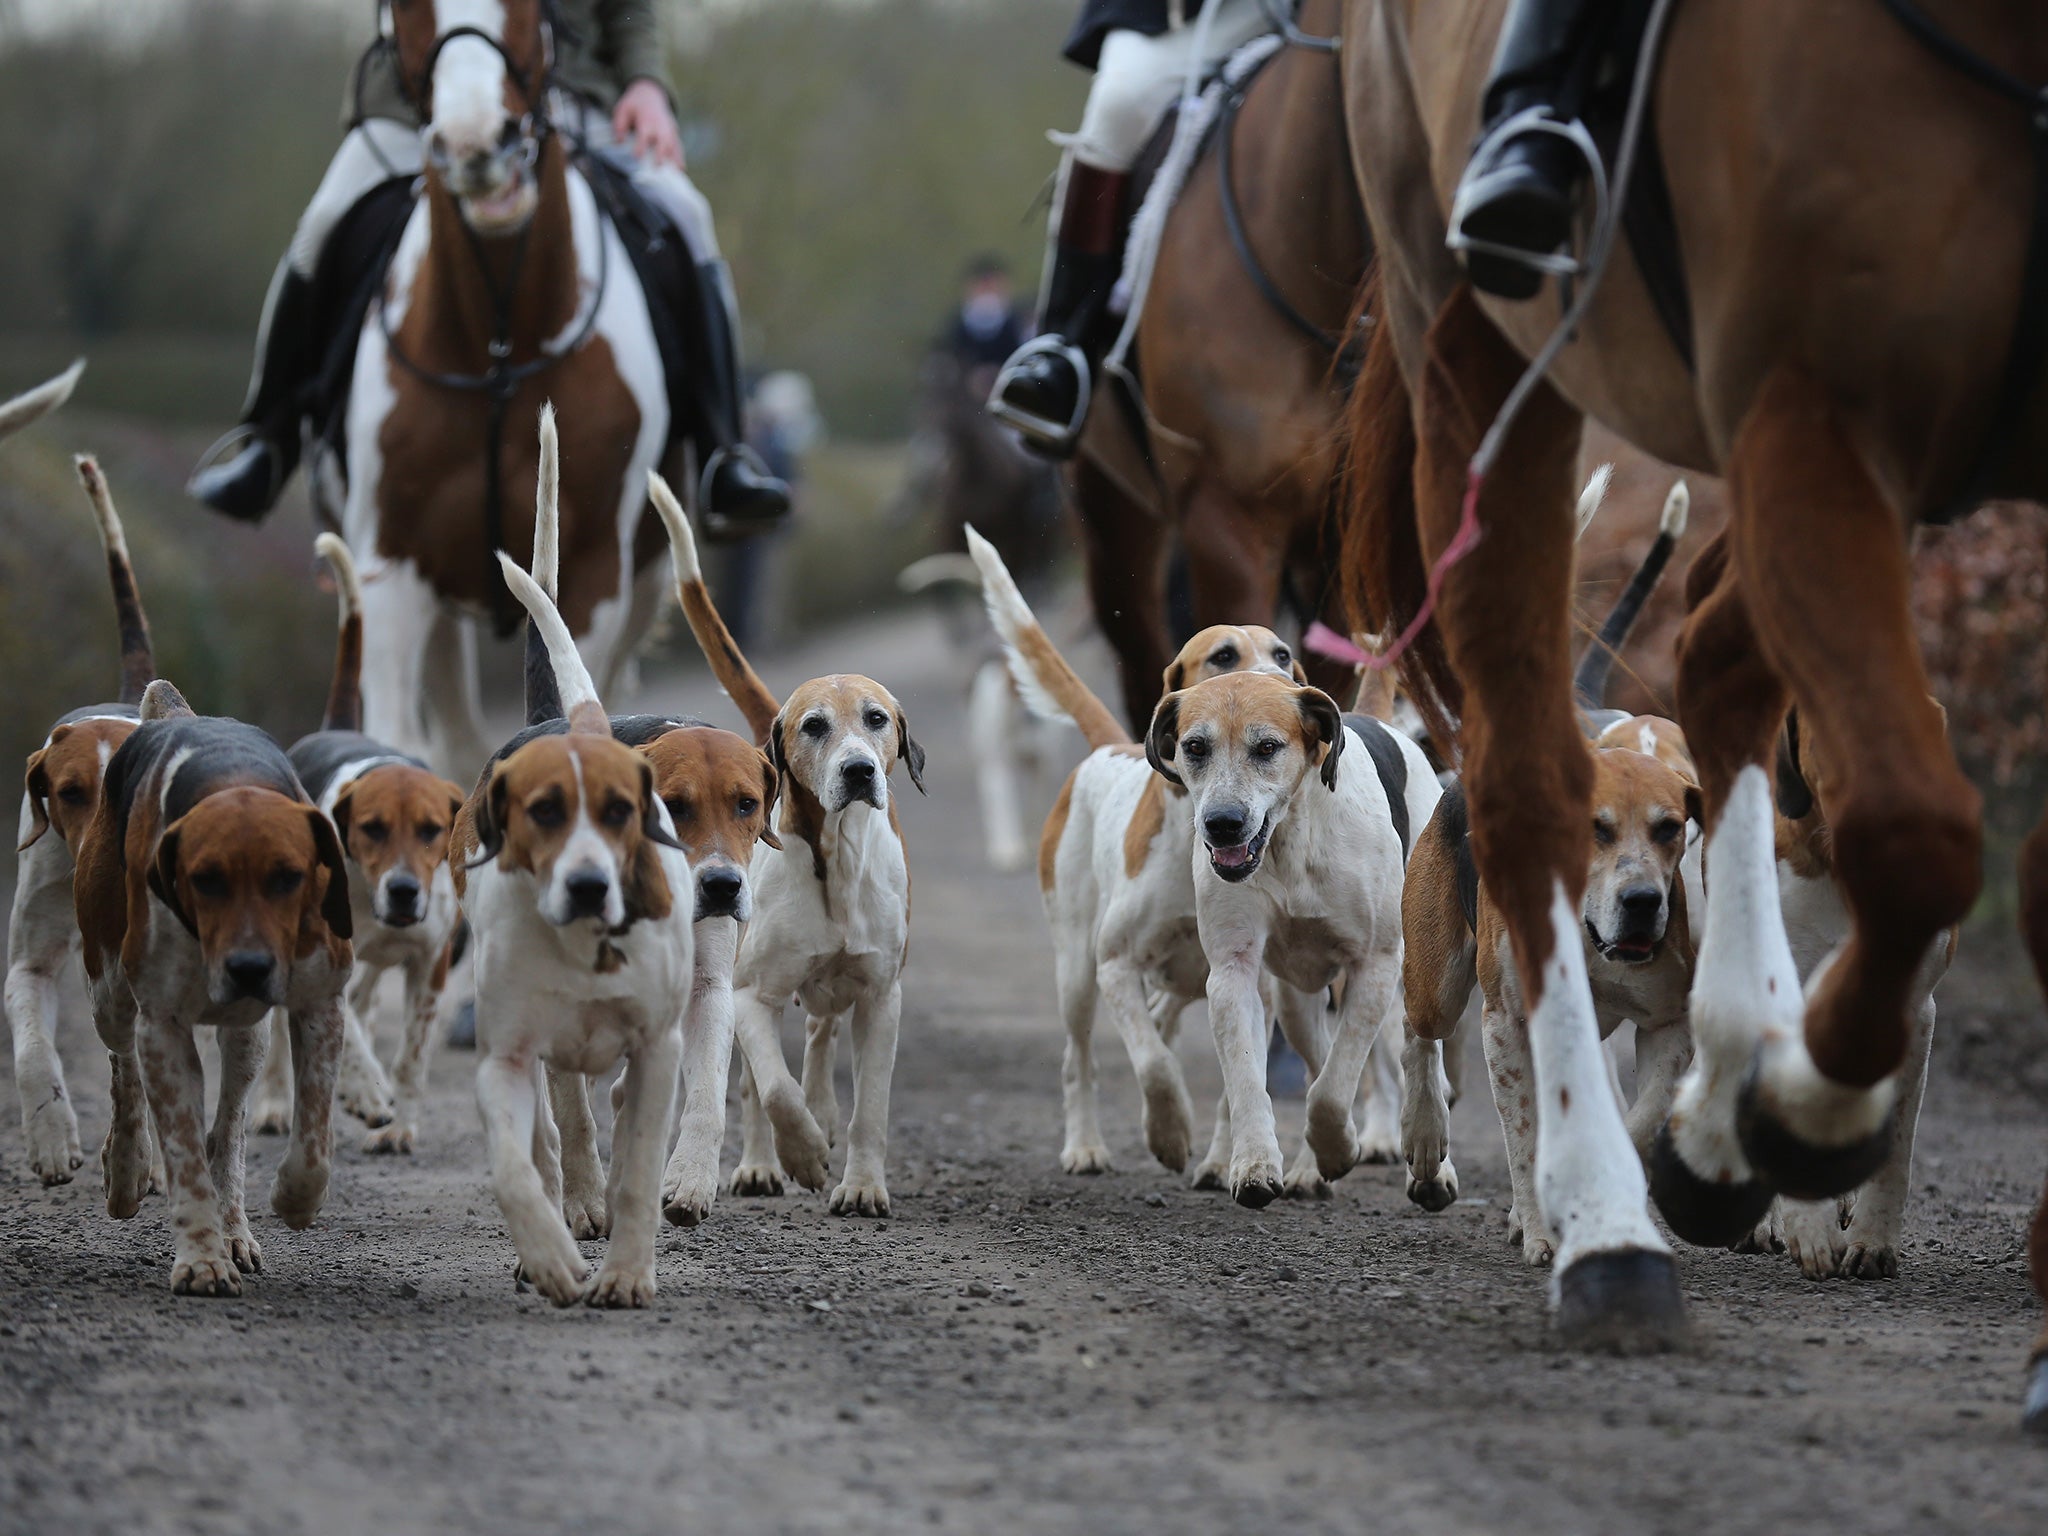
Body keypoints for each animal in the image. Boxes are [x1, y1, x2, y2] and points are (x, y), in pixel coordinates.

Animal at [337, 0, 663, 770]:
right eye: (406, 9)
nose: (475, 142)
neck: (497, 341)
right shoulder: (390, 566)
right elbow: (395, 742)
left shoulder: (594, 573)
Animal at [1335, 0, 2048, 1392]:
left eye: (1669, 828)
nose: (1638, 897)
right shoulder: (1813, 409)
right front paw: (1585, 1202)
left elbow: (1859, 1112)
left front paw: (1827, 1213)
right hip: (1484, 370)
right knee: (1435, 1030)